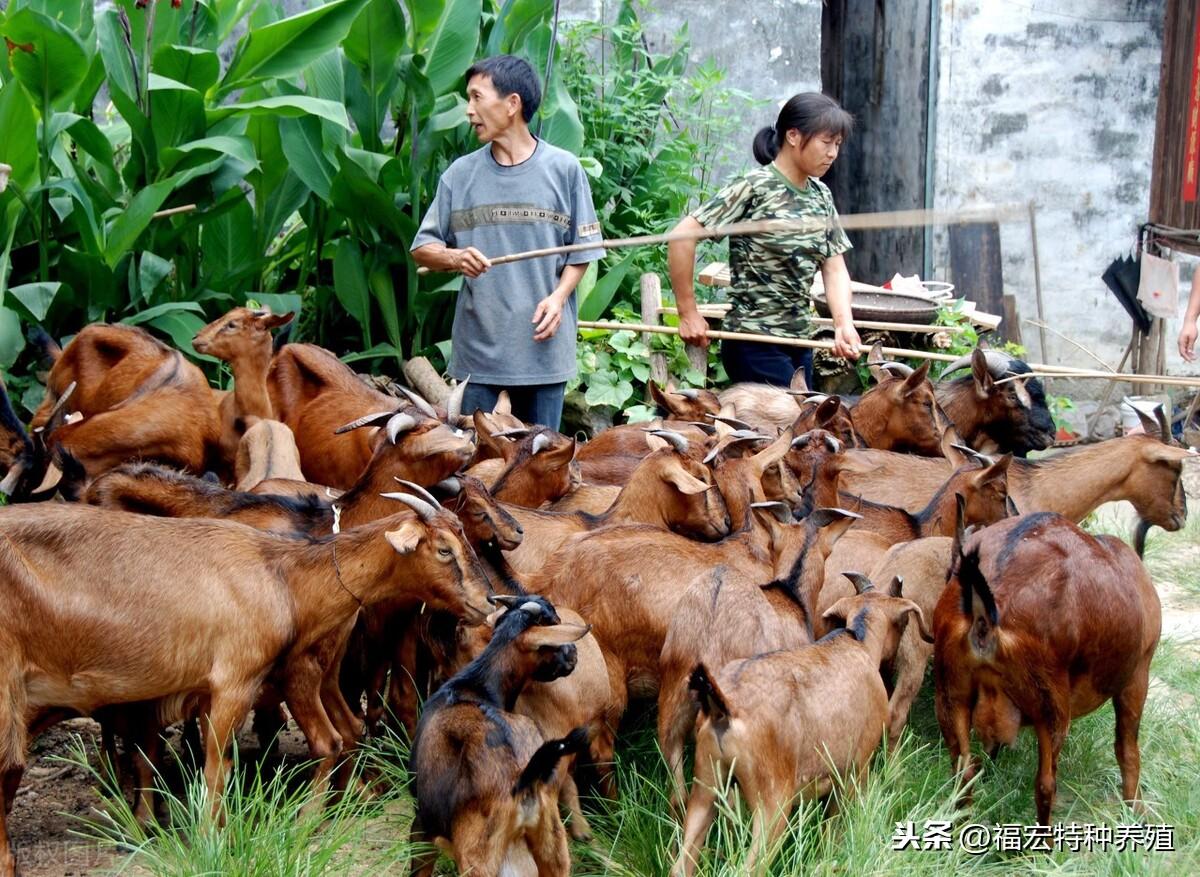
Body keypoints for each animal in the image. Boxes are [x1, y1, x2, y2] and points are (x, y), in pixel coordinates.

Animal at [681, 575, 931, 877]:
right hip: (772, 804)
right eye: (903, 622)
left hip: (705, 787)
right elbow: (834, 829)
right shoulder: (857, 769)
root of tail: (723, 708)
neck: (857, 643)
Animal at [931, 511, 1156, 825]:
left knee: (964, 772)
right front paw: (1135, 810)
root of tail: (985, 618)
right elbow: (1127, 750)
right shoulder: (1137, 675)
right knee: (1046, 784)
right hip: (1051, 707)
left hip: (950, 697)